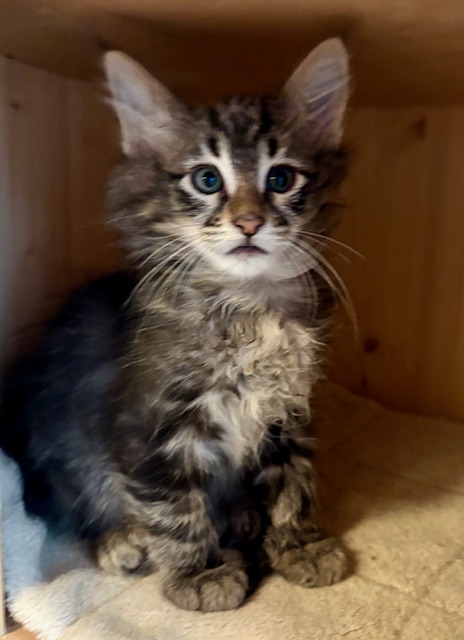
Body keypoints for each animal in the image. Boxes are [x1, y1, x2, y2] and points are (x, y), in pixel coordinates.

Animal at [0, 38, 350, 612]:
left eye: (280, 178)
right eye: (207, 179)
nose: (249, 222)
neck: (248, 307)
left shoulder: (288, 410)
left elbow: (292, 481)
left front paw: (300, 543)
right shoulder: (151, 427)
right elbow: (175, 506)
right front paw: (200, 573)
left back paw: (239, 512)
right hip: (57, 442)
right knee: (66, 505)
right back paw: (119, 538)